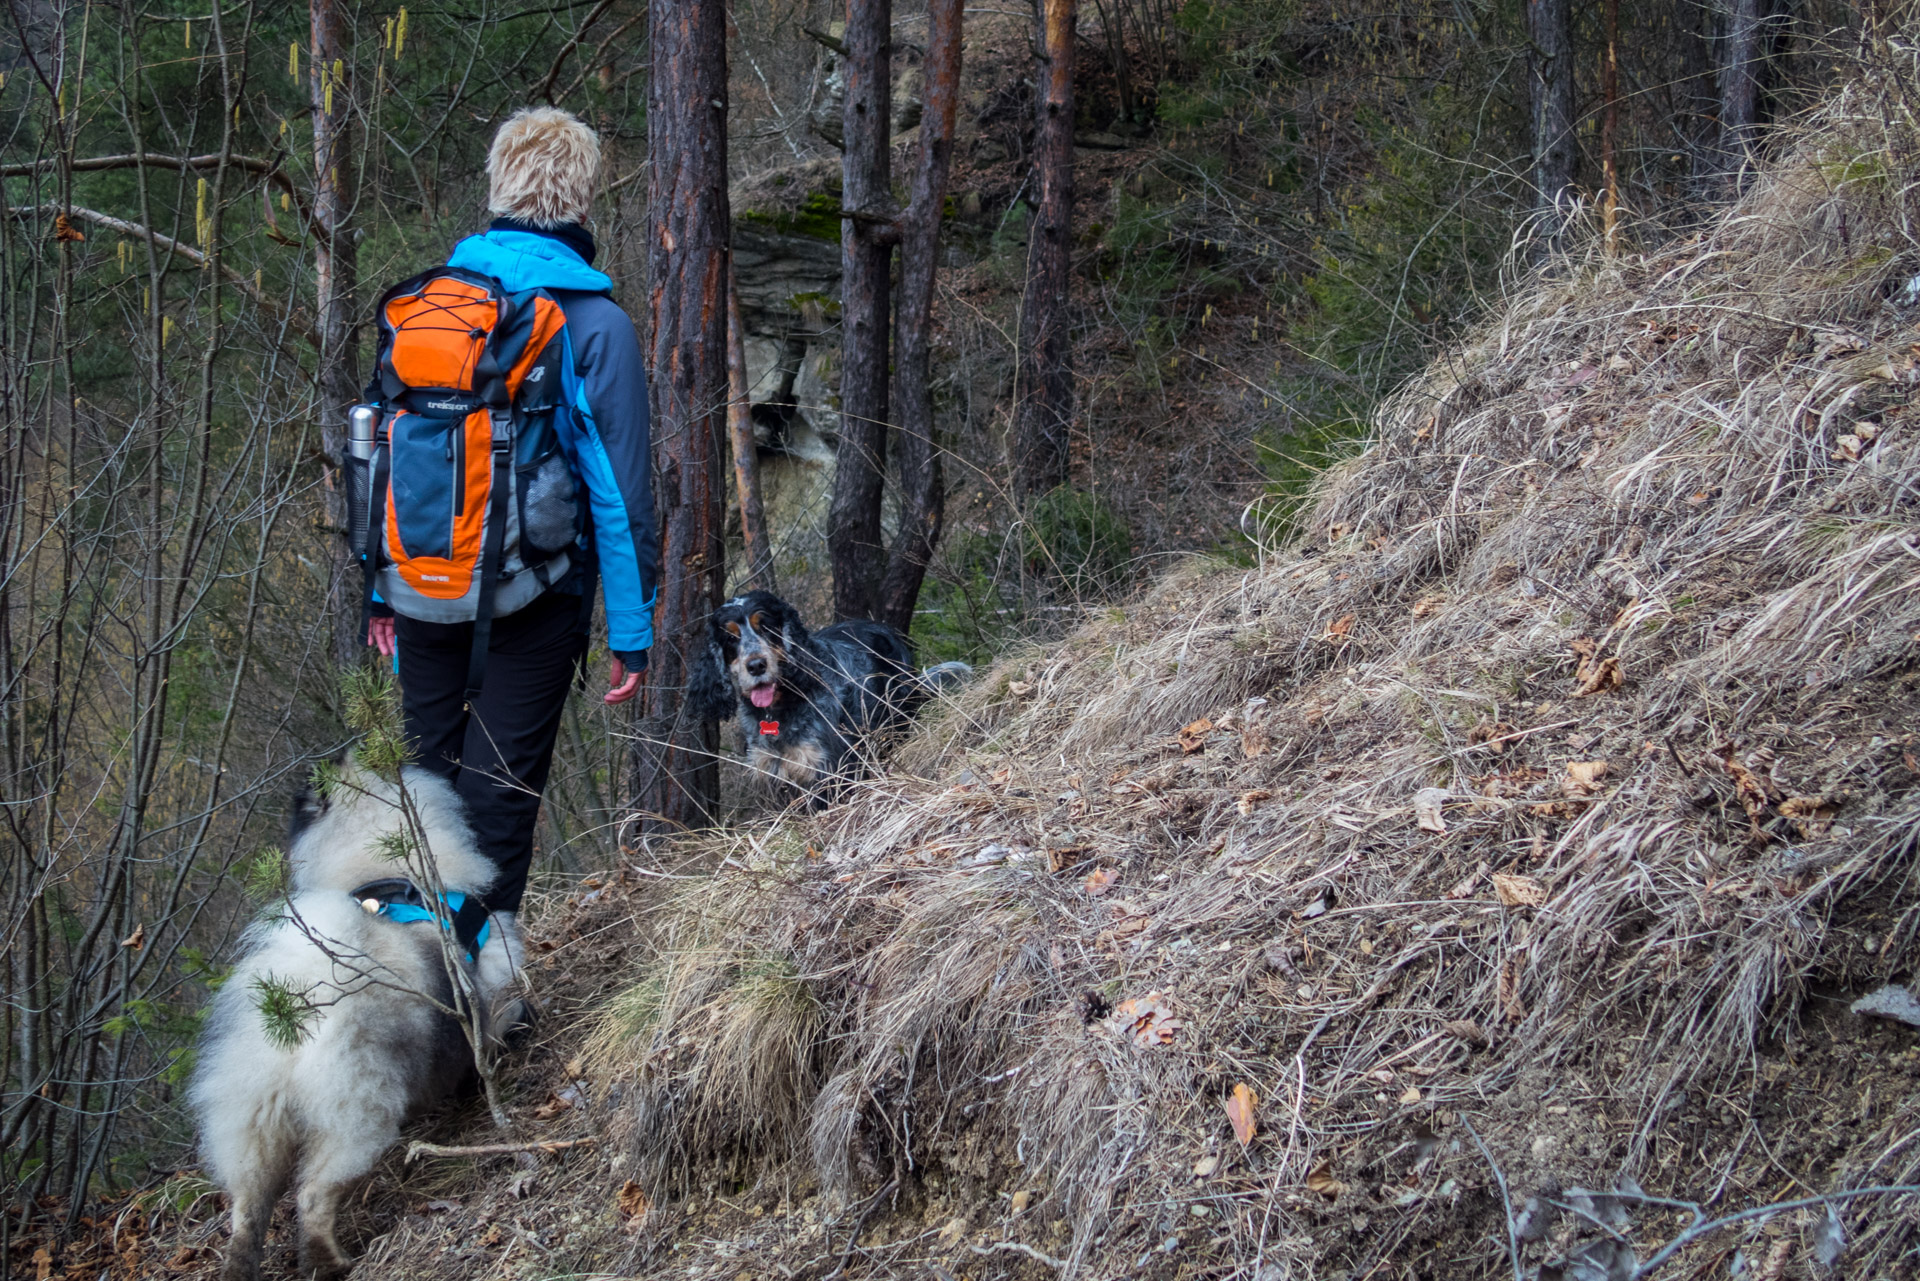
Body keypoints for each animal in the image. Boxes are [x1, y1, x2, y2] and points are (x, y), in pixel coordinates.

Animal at [191, 768, 506, 1275]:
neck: (376, 872)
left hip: (252, 1124)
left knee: (247, 1210)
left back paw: (243, 1265)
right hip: (354, 1117)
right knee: (313, 1195)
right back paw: (329, 1262)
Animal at [691, 595, 967, 802]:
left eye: (767, 627)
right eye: (730, 638)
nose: (756, 665)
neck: (780, 708)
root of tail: (883, 627)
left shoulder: (827, 770)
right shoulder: (774, 773)